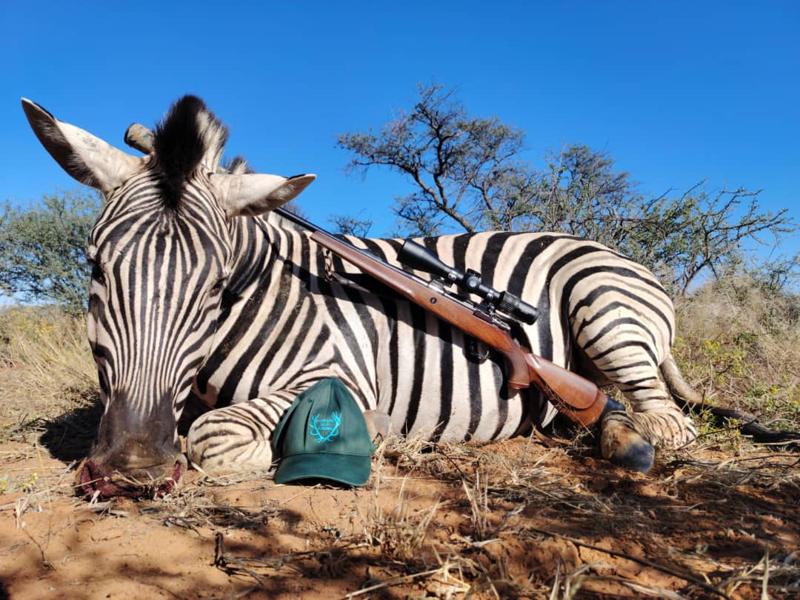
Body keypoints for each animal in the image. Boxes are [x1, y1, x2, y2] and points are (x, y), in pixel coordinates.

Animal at [22, 95, 698, 498]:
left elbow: (215, 436)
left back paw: (635, 441)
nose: (133, 471)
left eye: (214, 285)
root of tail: (619, 258)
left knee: (666, 421)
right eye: (96, 267)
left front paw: (362, 436)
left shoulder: (339, 369)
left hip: (604, 310)